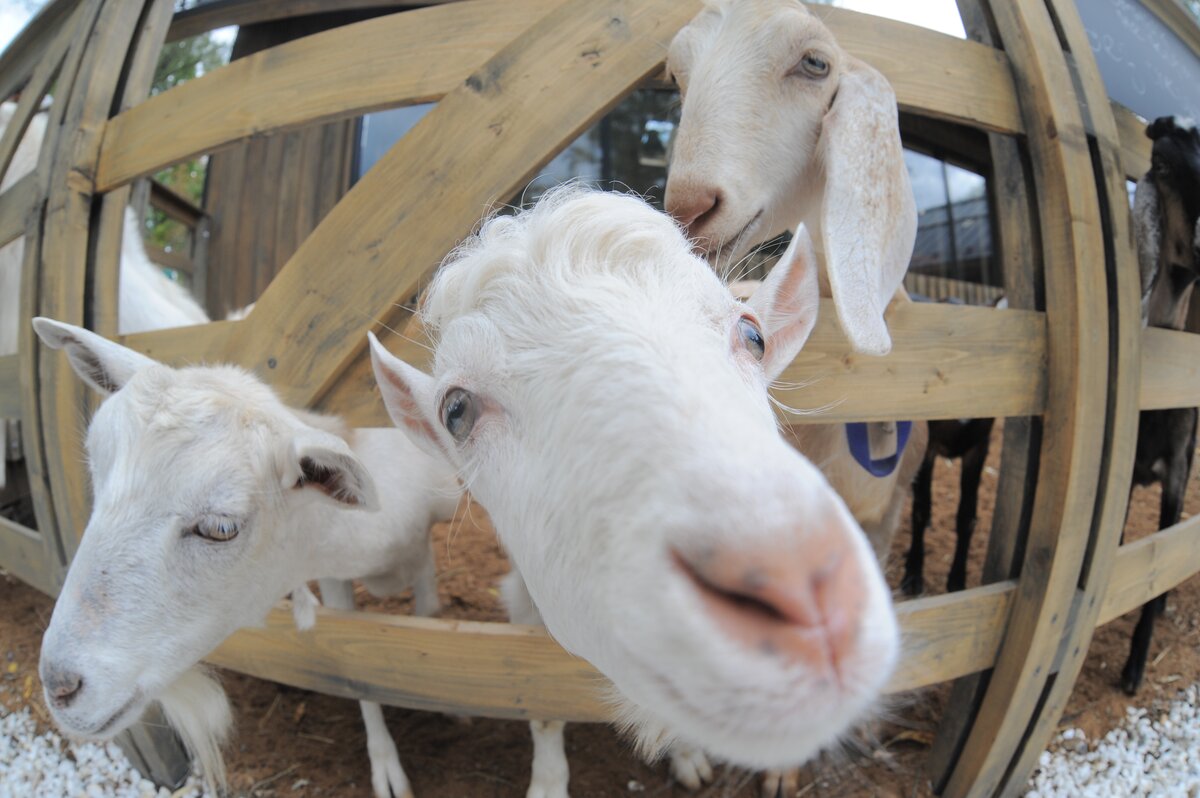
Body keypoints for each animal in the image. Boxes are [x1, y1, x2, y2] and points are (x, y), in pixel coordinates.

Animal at [31, 316, 463, 796]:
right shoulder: (332, 574)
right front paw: (385, 765)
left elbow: (428, 611)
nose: (59, 686)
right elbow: (358, 675)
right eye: (95, 468)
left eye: (221, 528)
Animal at [369, 184, 897, 792]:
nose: (799, 589)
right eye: (455, 411)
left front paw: (689, 757)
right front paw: (547, 783)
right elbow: (540, 704)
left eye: (754, 336)